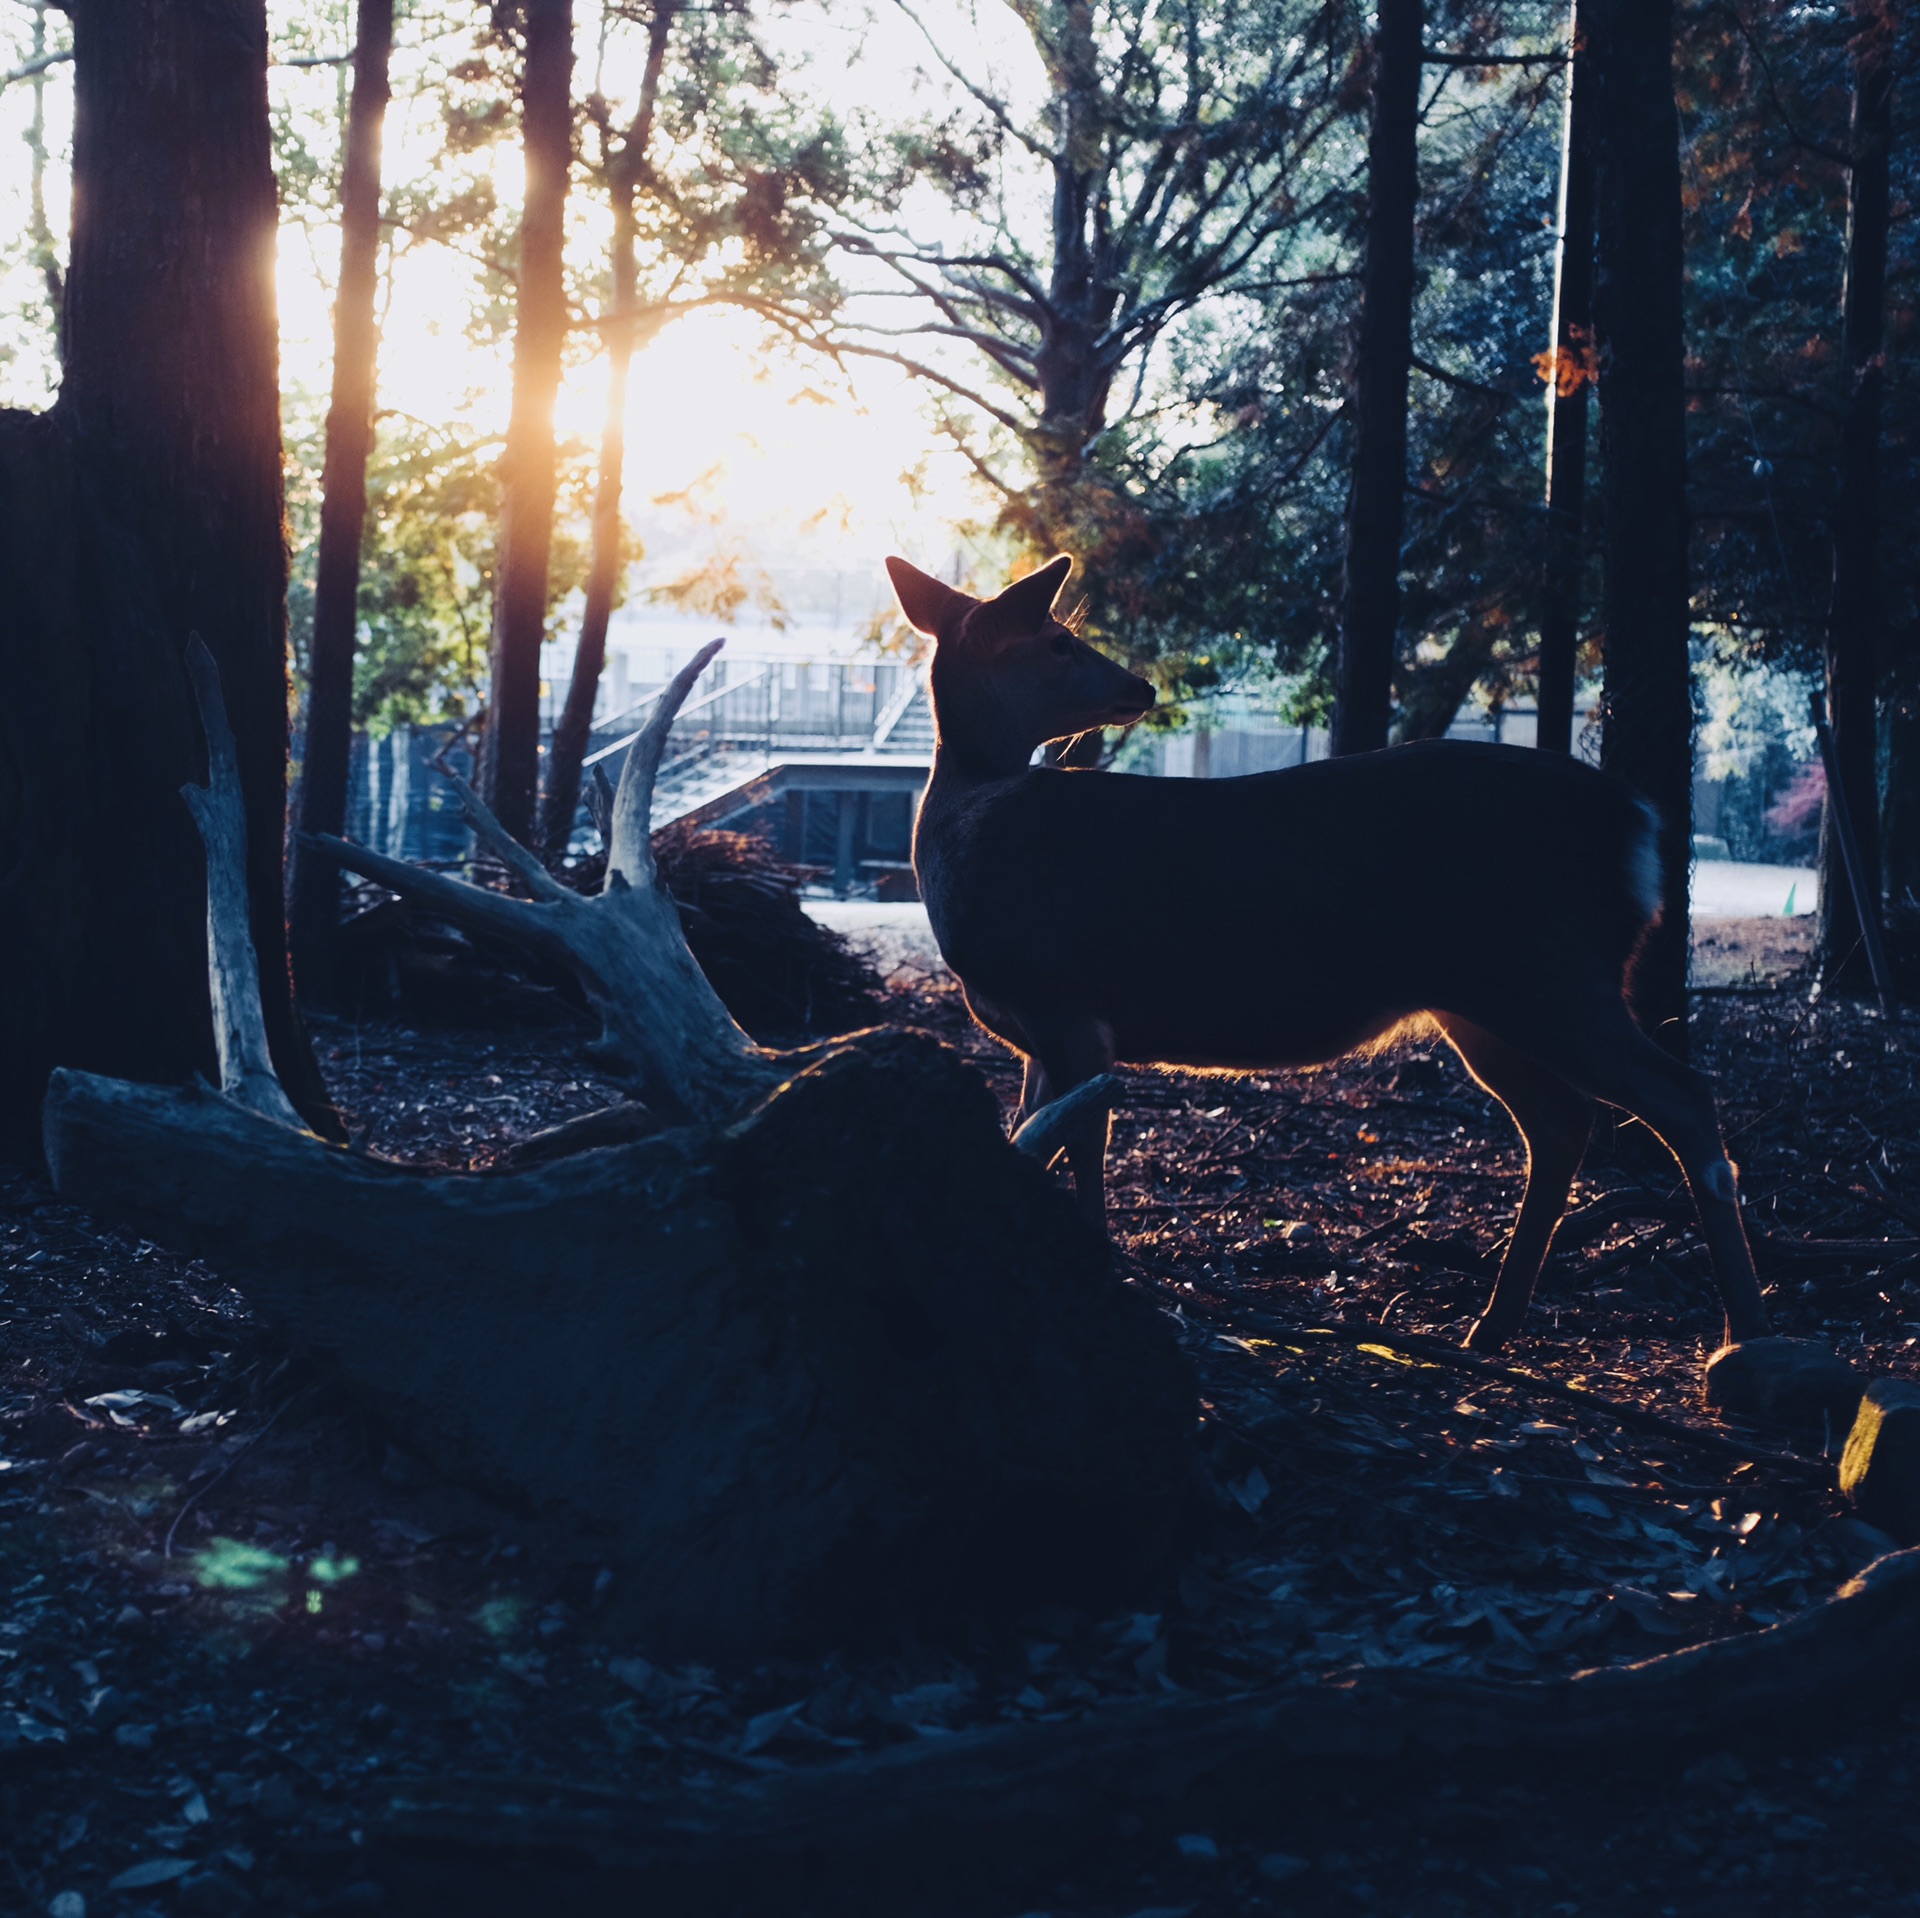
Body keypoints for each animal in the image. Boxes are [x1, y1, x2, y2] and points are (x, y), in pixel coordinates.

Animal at [883, 549, 1766, 1359]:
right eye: (1060, 641)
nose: (1141, 687)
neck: (964, 833)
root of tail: (1641, 826)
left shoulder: (1067, 1001)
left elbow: (1079, 1150)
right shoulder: (1038, 1029)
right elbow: (1024, 1146)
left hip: (1552, 971)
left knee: (1681, 1095)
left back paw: (1742, 1333)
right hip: (1490, 997)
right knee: (1563, 1121)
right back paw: (1492, 1322)